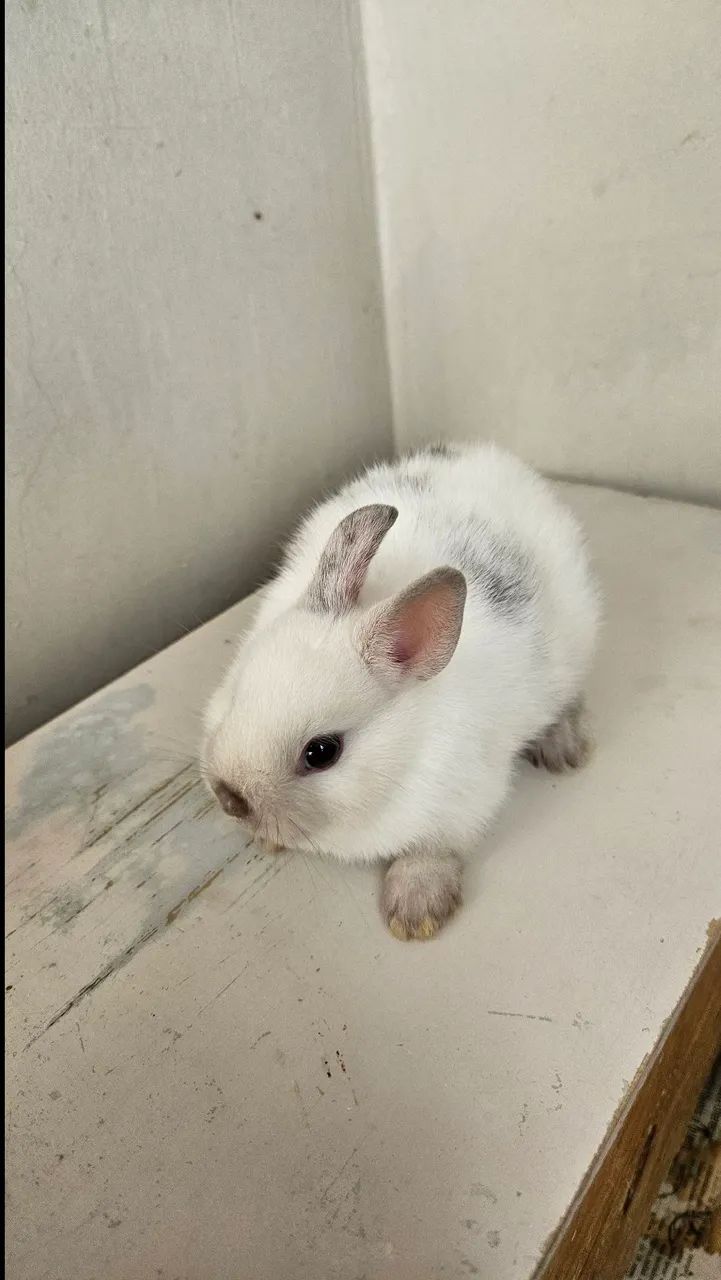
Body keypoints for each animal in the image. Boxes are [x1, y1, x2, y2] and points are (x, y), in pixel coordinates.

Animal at [201, 441, 600, 940]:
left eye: (322, 753)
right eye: (237, 694)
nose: (229, 798)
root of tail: (496, 458)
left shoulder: (458, 804)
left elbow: (430, 850)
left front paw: (415, 912)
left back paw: (563, 748)